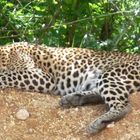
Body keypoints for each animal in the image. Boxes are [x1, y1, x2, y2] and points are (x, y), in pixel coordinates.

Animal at [0, 41, 140, 135]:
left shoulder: (44, 77)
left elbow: (7, 75)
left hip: (112, 73)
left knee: (124, 105)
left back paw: (98, 122)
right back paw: (73, 99)